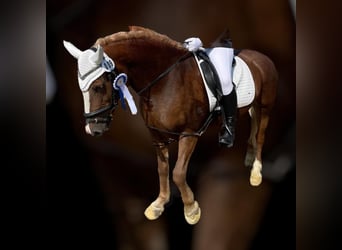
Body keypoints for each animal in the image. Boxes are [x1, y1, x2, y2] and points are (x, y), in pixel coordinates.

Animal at [63, 25, 278, 225]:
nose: (92, 129)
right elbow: (162, 169)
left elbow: (178, 173)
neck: (165, 80)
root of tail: (261, 57)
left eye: (98, 87)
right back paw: (249, 158)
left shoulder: (189, 134)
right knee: (253, 129)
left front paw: (191, 209)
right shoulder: (157, 137)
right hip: (253, 106)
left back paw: (256, 172)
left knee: (261, 135)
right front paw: (158, 204)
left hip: (266, 106)